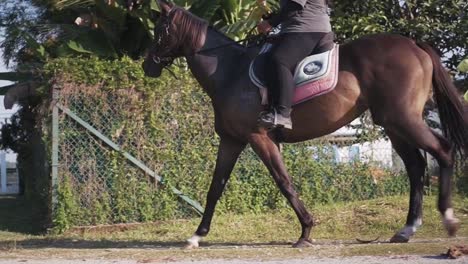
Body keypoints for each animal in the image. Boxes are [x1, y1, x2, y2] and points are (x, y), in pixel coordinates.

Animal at [143, 0, 468, 248]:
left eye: (161, 30)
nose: (148, 66)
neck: (229, 71)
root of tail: (413, 44)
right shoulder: (232, 140)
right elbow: (215, 188)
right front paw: (197, 236)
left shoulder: (259, 137)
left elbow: (284, 182)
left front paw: (306, 231)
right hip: (393, 124)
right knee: (415, 166)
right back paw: (407, 229)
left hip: (403, 119)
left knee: (442, 151)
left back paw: (449, 219)